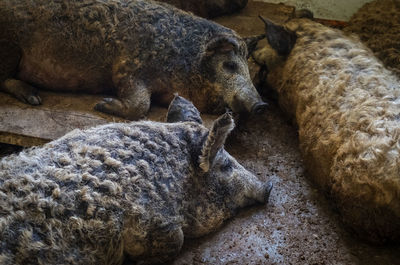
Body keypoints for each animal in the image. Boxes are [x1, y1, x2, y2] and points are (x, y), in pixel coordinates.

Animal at [0, 0, 268, 118]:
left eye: (247, 69)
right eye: (229, 65)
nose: (261, 105)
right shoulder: (128, 67)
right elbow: (141, 105)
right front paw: (101, 104)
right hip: (9, 47)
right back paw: (35, 98)